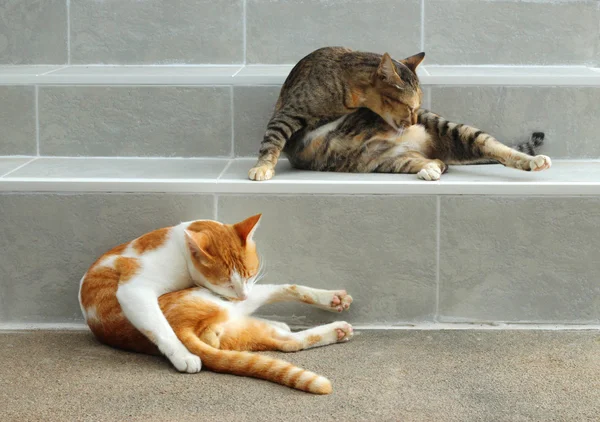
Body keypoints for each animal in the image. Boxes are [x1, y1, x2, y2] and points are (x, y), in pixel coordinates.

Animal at [78, 216, 352, 394]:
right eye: (227, 283)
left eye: (249, 274)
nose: (241, 295)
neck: (178, 248)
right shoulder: (134, 290)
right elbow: (163, 331)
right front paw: (183, 356)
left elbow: (286, 288)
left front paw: (332, 299)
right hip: (209, 300)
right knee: (284, 338)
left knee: (286, 339)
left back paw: (334, 324)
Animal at [246, 46, 552, 181]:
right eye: (409, 107)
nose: (414, 120)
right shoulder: (289, 112)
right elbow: (271, 140)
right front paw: (263, 166)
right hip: (386, 160)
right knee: (438, 162)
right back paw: (430, 168)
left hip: (450, 128)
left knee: (495, 148)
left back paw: (533, 161)